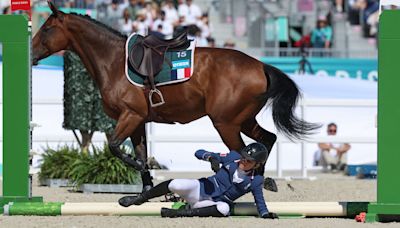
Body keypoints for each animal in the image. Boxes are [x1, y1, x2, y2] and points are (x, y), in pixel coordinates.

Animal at [32, 1, 318, 191]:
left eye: (46, 28)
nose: (31, 53)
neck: (113, 61)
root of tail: (260, 65)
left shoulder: (130, 116)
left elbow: (115, 147)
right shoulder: (138, 121)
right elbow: (139, 154)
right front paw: (145, 190)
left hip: (226, 124)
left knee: (244, 153)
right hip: (244, 120)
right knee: (266, 140)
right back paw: (264, 179)